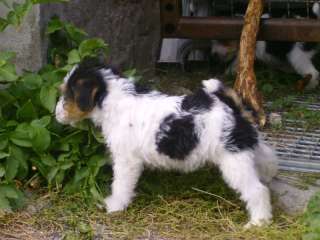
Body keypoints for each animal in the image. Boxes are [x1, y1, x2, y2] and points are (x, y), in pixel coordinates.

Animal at [55, 58, 278, 227]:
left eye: (68, 94)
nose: (56, 114)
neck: (113, 101)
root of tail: (232, 108)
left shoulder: (126, 161)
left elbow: (120, 185)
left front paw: (114, 206)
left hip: (234, 161)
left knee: (257, 190)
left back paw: (258, 222)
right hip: (246, 149)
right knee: (267, 158)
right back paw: (268, 178)